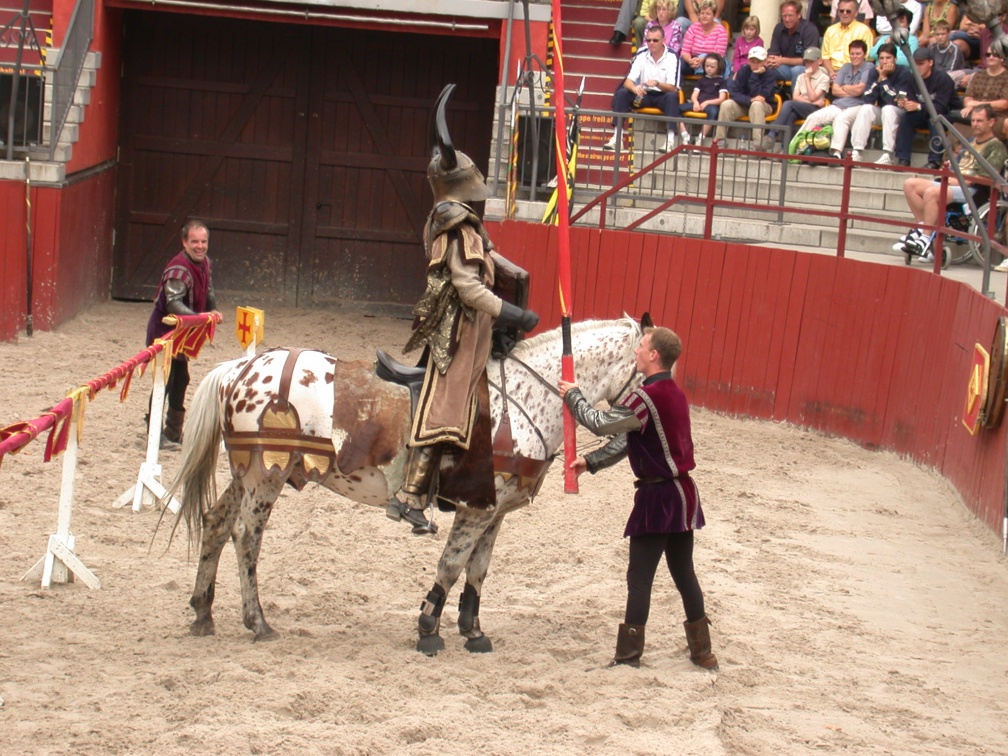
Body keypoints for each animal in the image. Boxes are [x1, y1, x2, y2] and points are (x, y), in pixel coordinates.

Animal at [160, 316, 641, 653]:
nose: (636, 421)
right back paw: (257, 621)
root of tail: (241, 368)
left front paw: (473, 630)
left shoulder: (495, 512)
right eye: (646, 370)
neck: (521, 400)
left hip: (246, 473)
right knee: (246, 536)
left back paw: (203, 612)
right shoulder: (475, 508)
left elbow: (478, 569)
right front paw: (429, 627)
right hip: (266, 475)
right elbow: (451, 565)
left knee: (216, 523)